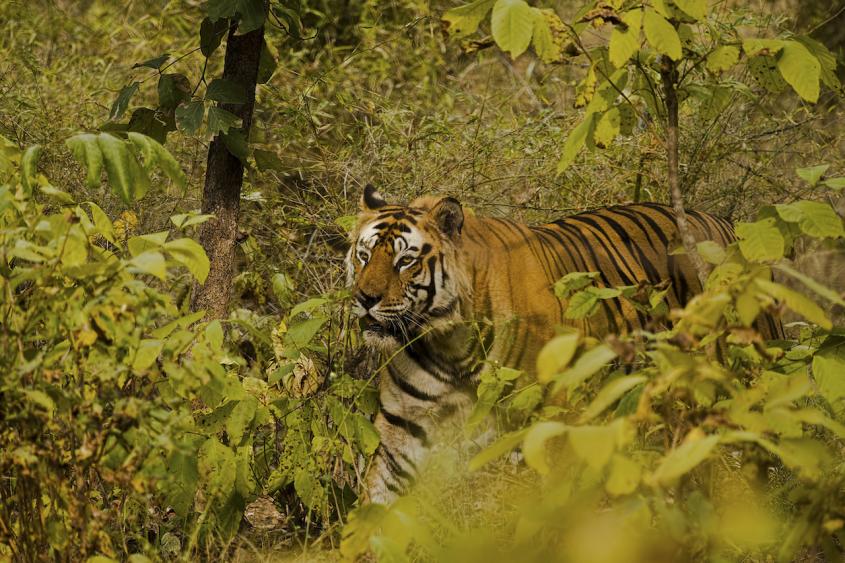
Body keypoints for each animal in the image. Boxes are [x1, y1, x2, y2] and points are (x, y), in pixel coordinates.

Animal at [346, 185, 783, 504]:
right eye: (364, 255)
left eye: (405, 261)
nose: (365, 298)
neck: (446, 342)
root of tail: (726, 224)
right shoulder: (403, 427)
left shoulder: (544, 428)